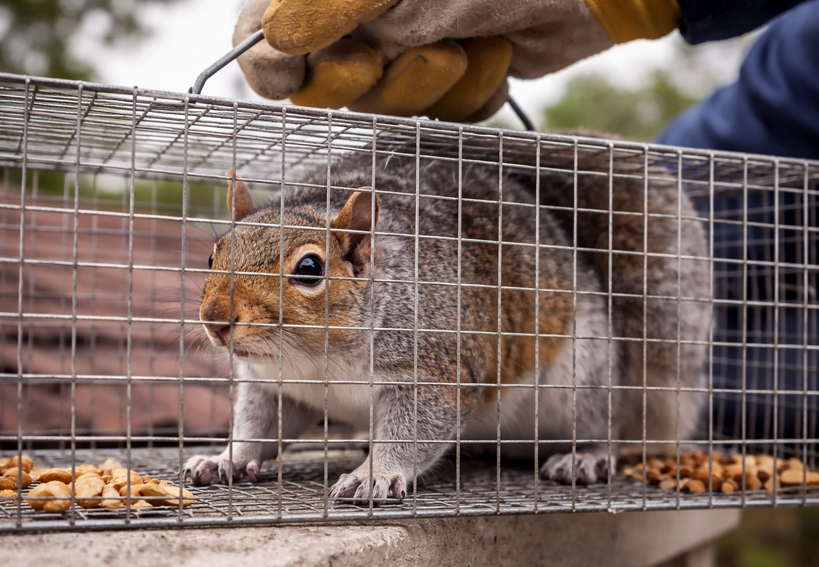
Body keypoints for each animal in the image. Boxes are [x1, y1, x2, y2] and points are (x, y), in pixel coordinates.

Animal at [183, 141, 710, 504]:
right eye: (212, 255)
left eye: (309, 269)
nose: (215, 321)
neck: (317, 360)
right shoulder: (278, 386)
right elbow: (259, 426)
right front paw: (224, 459)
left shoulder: (435, 370)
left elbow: (415, 427)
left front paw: (374, 474)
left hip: (586, 377)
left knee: (609, 429)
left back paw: (586, 456)